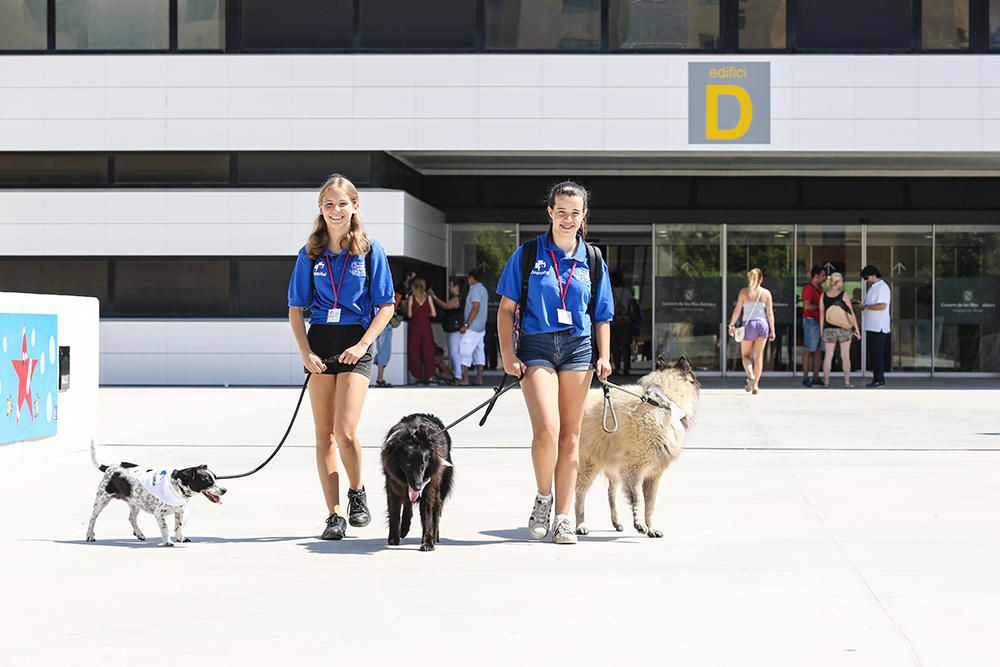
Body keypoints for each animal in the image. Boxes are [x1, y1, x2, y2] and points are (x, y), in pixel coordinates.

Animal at [87, 440, 227, 544]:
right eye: (207, 481)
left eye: (215, 478)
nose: (224, 490)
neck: (177, 486)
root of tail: (109, 467)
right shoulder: (159, 513)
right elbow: (165, 529)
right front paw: (168, 542)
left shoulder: (180, 511)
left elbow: (179, 526)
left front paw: (180, 538)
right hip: (101, 500)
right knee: (92, 518)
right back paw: (89, 535)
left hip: (135, 503)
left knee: (131, 518)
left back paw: (139, 534)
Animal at [380, 414, 456, 552]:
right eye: (407, 464)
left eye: (422, 465)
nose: (417, 486)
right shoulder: (393, 487)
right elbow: (394, 513)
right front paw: (393, 539)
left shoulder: (428, 489)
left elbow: (427, 516)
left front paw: (427, 543)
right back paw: (404, 529)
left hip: (440, 487)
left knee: (436, 511)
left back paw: (435, 536)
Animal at [576, 354, 700, 536]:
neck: (663, 402)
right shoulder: (634, 469)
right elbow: (639, 499)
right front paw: (640, 523)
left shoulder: (653, 475)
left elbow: (651, 504)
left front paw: (651, 527)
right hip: (588, 464)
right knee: (579, 493)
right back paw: (580, 524)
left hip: (613, 466)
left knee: (611, 492)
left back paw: (616, 522)